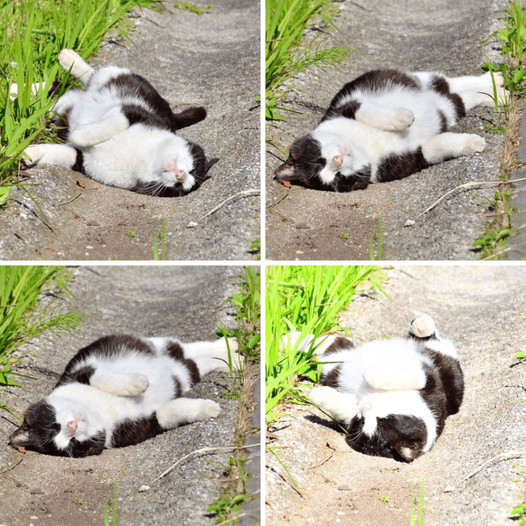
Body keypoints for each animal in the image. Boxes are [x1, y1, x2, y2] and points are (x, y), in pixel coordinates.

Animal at [9, 336, 240, 460]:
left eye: (54, 426)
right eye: (72, 443)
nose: (72, 426)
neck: (97, 412)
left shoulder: (81, 372)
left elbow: (102, 379)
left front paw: (138, 384)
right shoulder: (143, 425)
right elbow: (170, 413)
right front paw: (208, 409)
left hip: (156, 344)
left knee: (187, 348)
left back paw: (230, 344)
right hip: (185, 375)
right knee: (196, 363)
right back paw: (232, 360)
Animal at [19, 49, 212, 197]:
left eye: (180, 187)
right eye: (193, 168)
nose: (181, 176)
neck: (147, 158)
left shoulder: (83, 161)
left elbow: (61, 153)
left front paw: (30, 153)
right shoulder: (131, 112)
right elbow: (111, 125)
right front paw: (77, 134)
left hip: (59, 105)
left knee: (53, 91)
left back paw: (18, 88)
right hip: (122, 78)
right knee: (95, 75)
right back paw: (68, 59)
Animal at [274, 69, 510, 193]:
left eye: (319, 160)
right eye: (338, 177)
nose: (338, 161)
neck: (362, 146)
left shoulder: (347, 107)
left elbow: (368, 113)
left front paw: (403, 118)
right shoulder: (409, 159)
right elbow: (435, 147)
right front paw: (473, 143)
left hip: (420, 78)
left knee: (451, 82)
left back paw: (496, 79)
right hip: (451, 109)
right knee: (461, 98)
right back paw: (499, 94)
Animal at [284, 316, 466, 464]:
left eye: (364, 422)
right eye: (386, 419)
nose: (366, 407)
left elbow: (344, 406)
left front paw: (318, 394)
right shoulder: (429, 380)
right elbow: (410, 378)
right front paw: (370, 374)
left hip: (334, 364)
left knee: (334, 344)